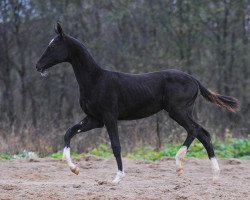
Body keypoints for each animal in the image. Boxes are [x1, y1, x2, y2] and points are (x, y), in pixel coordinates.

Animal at [36, 23, 239, 183]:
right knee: (204, 134)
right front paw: (75, 169)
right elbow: (69, 132)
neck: (95, 80)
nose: (38, 66)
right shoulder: (94, 119)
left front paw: (117, 178)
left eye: (53, 46)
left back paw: (179, 164)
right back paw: (214, 175)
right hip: (184, 111)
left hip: (177, 111)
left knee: (194, 130)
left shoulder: (109, 117)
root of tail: (194, 80)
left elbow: (116, 146)